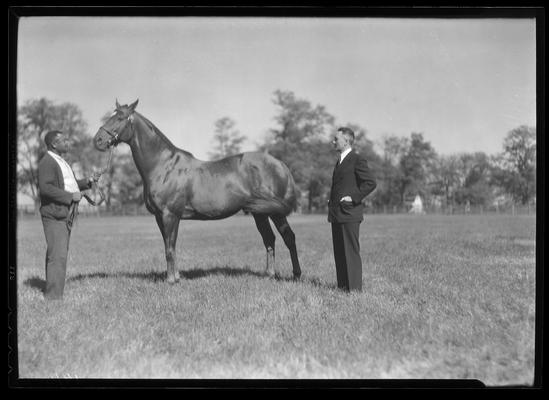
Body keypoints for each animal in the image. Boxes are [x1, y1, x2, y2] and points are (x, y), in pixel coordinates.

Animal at [93, 99, 300, 284]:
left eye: (120, 117)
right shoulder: (160, 217)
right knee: (269, 239)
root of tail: (280, 164)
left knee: (288, 237)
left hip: (276, 212)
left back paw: (296, 275)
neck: (163, 166)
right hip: (260, 213)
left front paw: (170, 280)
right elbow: (169, 245)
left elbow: (170, 248)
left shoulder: (170, 215)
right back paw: (269, 275)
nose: (98, 140)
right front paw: (176, 276)